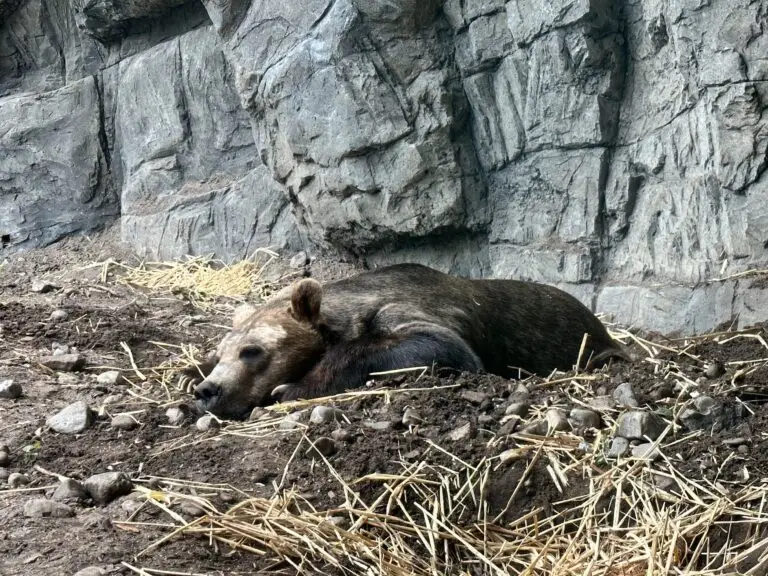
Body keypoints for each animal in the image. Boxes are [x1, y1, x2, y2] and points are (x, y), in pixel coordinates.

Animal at [191, 263, 630, 419]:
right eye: (220, 353)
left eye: (252, 351)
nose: (209, 390)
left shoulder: (413, 311)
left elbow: (436, 344)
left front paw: (292, 386)